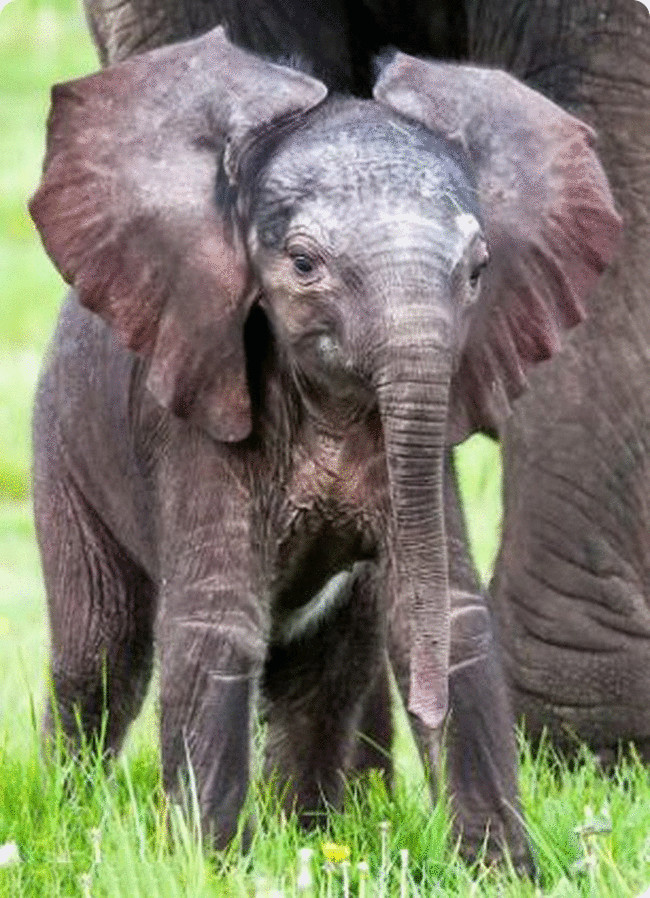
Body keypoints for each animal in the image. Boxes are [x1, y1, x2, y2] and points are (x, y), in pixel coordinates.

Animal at [30, 26, 616, 860]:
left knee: (323, 671)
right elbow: (216, 620)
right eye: (304, 265)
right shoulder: (201, 419)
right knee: (101, 654)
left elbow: (447, 612)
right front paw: (212, 867)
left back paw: (308, 833)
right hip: (61, 442)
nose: (426, 711)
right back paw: (70, 816)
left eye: (478, 271)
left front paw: (502, 871)